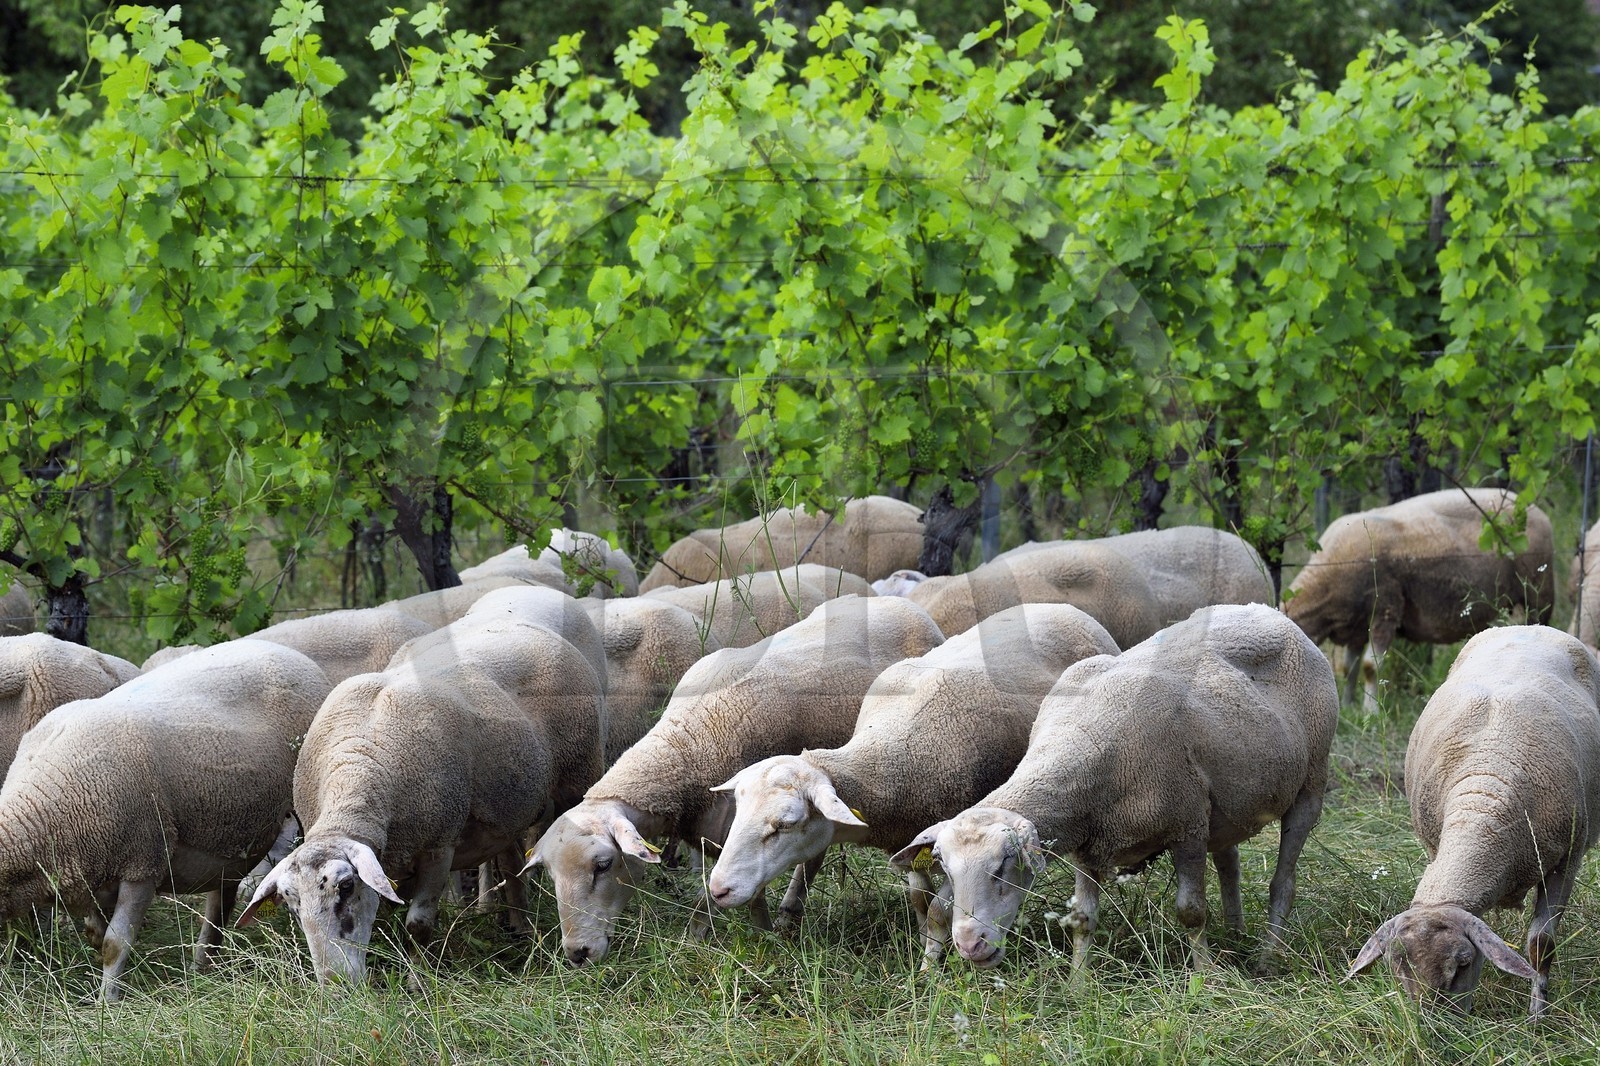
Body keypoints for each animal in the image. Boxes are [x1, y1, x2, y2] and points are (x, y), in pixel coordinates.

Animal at [238, 597, 606, 985]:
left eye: (346, 887)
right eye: (291, 904)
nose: (334, 984)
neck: (360, 765)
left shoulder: (438, 847)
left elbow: (418, 923)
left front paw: (417, 981)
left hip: (579, 772)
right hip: (507, 808)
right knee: (510, 860)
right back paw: (519, 927)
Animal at [705, 603, 1119, 962]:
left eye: (785, 824)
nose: (718, 889)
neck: (893, 752)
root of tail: (1060, 606)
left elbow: (940, 907)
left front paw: (932, 963)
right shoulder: (911, 838)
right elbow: (920, 897)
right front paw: (923, 940)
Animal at [893, 603, 1338, 976]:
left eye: (1003, 865)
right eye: (944, 866)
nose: (970, 945)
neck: (1088, 737)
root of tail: (1269, 612)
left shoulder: (1187, 827)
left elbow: (1191, 911)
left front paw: (1206, 979)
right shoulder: (1089, 842)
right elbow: (1082, 919)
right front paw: (1078, 985)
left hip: (1310, 782)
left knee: (1284, 881)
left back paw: (1267, 957)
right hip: (1223, 803)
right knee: (1230, 861)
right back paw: (1235, 935)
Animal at [1283, 487, 1555, 705]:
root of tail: (1534, 508)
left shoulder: (1385, 608)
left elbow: (1370, 668)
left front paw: (1371, 714)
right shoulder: (1356, 624)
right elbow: (1348, 668)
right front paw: (1348, 706)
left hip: (1538, 594)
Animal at [1348, 626, 1600, 1017]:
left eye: (1463, 963)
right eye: (1395, 965)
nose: (1431, 1026)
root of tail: (1528, 627)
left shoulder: (1567, 859)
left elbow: (1540, 945)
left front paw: (1537, 1018)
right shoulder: (1433, 845)